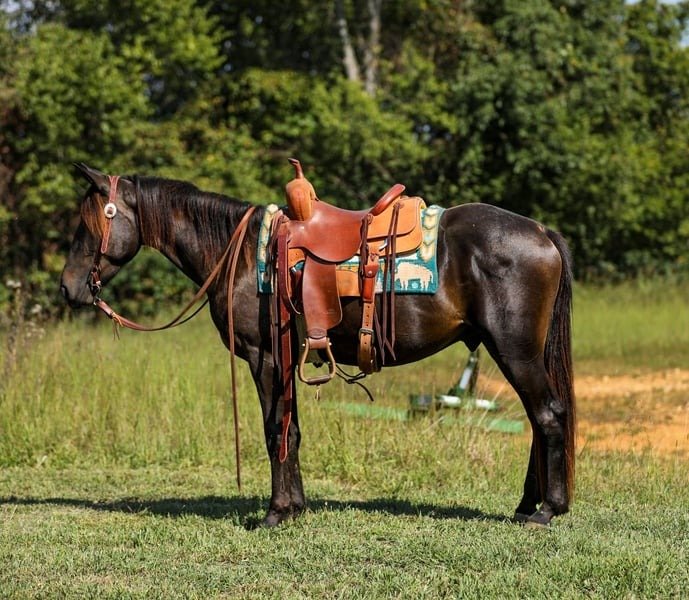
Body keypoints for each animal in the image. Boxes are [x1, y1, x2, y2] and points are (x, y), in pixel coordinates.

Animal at [60, 163, 576, 528]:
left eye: (90, 223)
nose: (68, 288)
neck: (239, 253)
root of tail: (541, 231)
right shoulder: (285, 360)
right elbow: (293, 431)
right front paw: (297, 506)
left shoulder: (264, 357)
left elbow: (276, 430)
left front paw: (276, 512)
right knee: (539, 420)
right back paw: (527, 505)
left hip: (515, 350)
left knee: (548, 415)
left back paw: (547, 509)